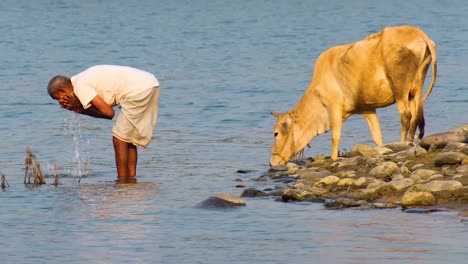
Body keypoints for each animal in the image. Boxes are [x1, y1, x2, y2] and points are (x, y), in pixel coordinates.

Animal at [268, 24, 436, 165]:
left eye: (276, 133)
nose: (272, 162)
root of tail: (418, 32)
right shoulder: (367, 109)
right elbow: (377, 136)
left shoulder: (334, 105)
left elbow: (335, 136)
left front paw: (333, 158)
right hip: (415, 89)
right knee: (414, 118)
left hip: (400, 88)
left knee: (406, 116)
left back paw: (402, 143)